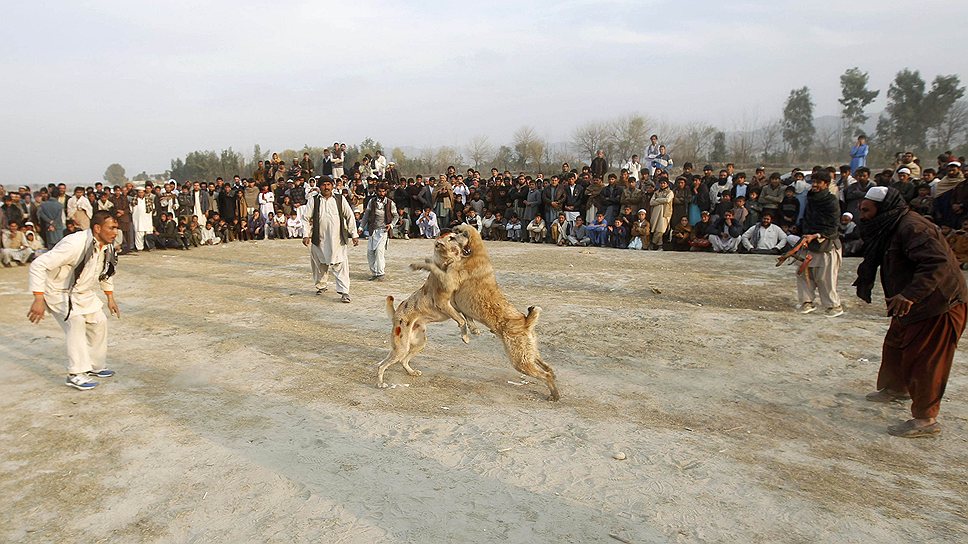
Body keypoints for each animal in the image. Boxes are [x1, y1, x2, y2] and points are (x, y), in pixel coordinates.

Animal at [374, 232, 472, 388]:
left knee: (403, 361)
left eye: (455, 234)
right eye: (451, 238)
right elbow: (461, 320)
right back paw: (381, 383)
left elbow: (467, 317)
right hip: (401, 348)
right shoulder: (444, 304)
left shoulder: (457, 303)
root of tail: (396, 315)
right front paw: (465, 337)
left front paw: (474, 329)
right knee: (382, 365)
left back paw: (411, 372)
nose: (466, 233)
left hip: (419, 343)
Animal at [452, 223, 560, 402]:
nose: (449, 234)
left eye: (460, 232)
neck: (475, 252)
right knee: (547, 367)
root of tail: (526, 322)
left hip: (520, 360)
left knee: (545, 375)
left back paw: (554, 395)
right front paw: (473, 329)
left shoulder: (455, 297)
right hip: (529, 353)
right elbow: (467, 318)